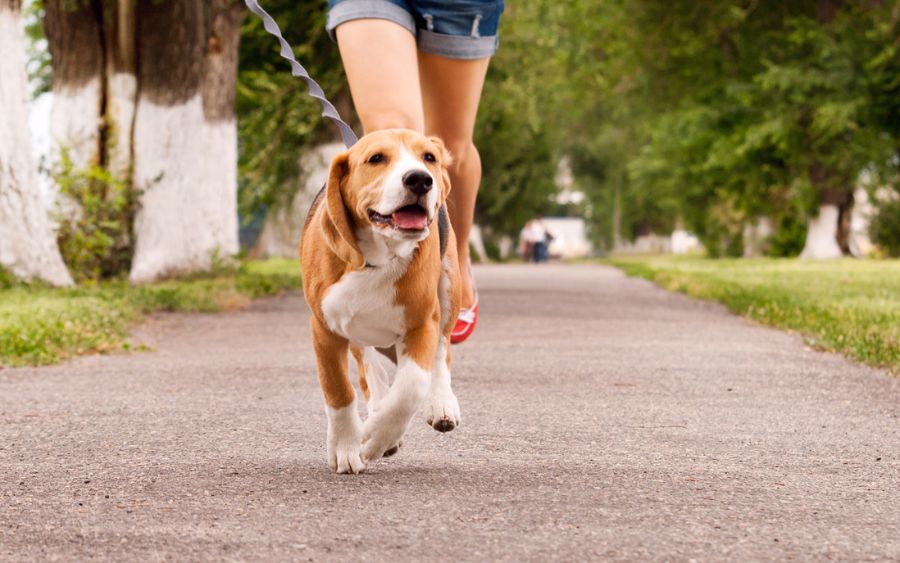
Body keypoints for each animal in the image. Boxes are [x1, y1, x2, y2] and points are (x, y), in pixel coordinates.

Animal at [300, 130, 460, 474]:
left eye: (429, 157)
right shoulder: (324, 328)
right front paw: (346, 448)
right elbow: (339, 390)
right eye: (376, 159)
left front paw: (375, 439)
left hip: (450, 285)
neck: (378, 257)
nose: (420, 179)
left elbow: (411, 387)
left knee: (442, 351)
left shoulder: (421, 323)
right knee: (367, 367)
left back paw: (441, 403)